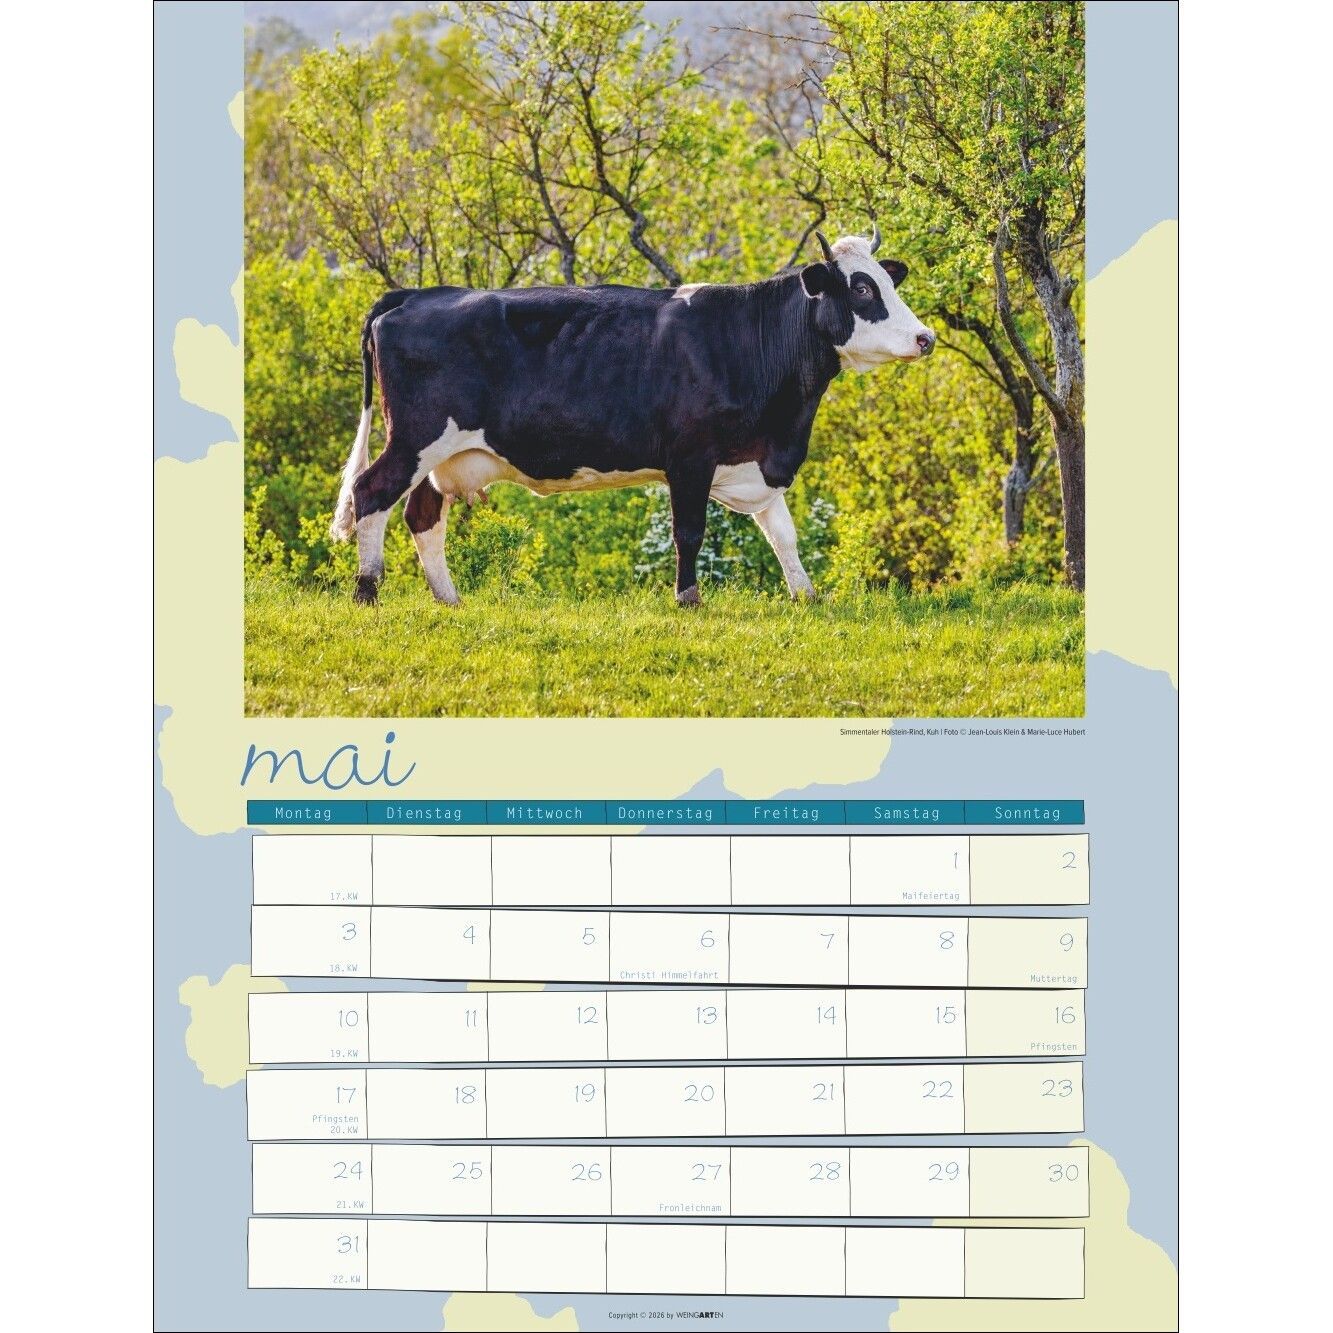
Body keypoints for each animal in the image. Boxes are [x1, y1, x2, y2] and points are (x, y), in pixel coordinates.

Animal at [330, 224, 936, 607]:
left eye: (888, 280)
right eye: (862, 289)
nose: (926, 338)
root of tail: (414, 295)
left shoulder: (755, 460)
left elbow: (783, 535)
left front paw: (806, 596)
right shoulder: (690, 458)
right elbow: (689, 531)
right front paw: (688, 598)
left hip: (446, 455)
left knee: (422, 515)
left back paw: (449, 599)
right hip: (415, 438)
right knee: (370, 492)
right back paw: (367, 591)